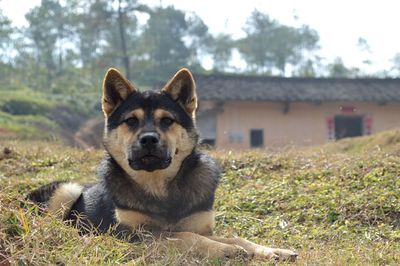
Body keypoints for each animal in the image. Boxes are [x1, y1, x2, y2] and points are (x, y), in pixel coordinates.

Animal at [28, 67, 296, 260]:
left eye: (167, 120)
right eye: (131, 121)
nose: (148, 139)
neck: (158, 183)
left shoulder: (202, 227)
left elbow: (236, 238)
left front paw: (270, 250)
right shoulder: (134, 234)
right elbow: (181, 235)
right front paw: (223, 250)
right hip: (67, 190)